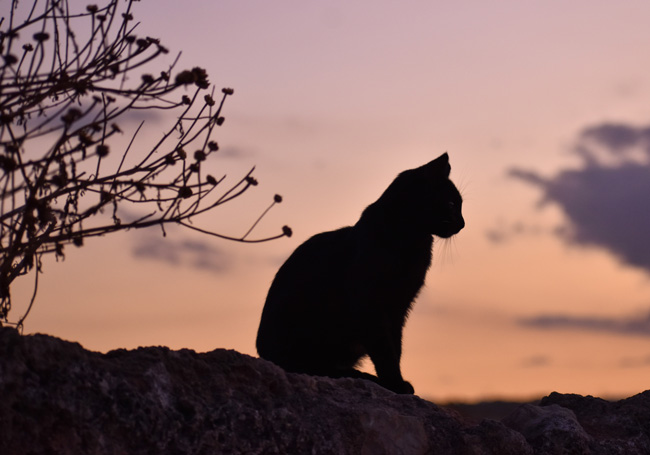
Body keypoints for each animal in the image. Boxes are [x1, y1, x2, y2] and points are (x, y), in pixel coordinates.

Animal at [256, 153, 464, 396]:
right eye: (451, 204)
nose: (462, 223)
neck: (413, 242)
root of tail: (262, 353)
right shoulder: (371, 304)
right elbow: (385, 349)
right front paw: (394, 384)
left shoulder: (399, 307)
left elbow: (396, 346)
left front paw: (395, 382)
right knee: (311, 366)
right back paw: (358, 375)